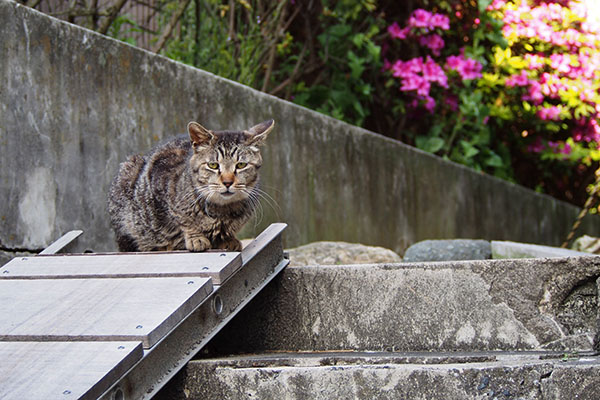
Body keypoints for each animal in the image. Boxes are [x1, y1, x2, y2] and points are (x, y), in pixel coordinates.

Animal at [106, 119, 276, 252]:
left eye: (241, 165)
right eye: (213, 165)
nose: (227, 182)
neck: (222, 211)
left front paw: (227, 239)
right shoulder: (160, 185)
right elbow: (182, 218)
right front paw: (195, 237)